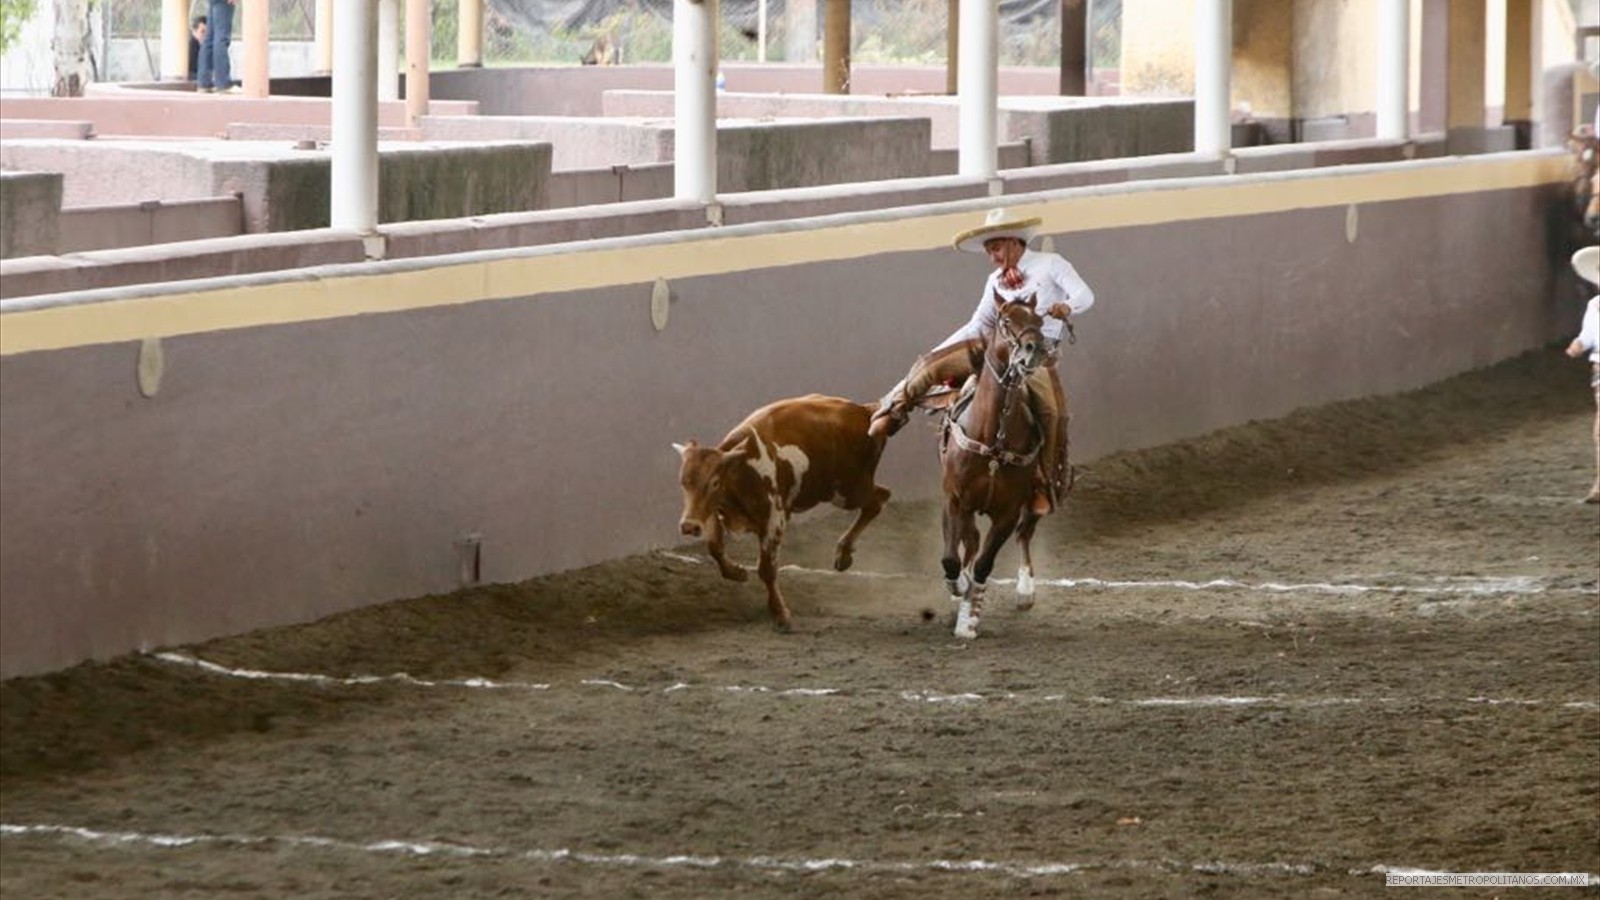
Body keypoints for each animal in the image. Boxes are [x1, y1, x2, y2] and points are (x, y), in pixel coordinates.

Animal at [675, 392, 896, 630]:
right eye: (683, 482)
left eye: (715, 482)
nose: (688, 526)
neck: (742, 469)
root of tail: (865, 410)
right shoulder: (712, 510)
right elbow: (714, 546)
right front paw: (737, 572)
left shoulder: (774, 520)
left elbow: (766, 569)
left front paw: (780, 613)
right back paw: (843, 554)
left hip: (848, 491)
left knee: (880, 497)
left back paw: (844, 553)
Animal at [934, 291, 1049, 634]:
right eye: (1007, 320)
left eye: (1039, 321)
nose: (1035, 349)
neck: (993, 436)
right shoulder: (955, 500)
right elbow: (951, 558)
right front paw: (958, 589)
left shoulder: (1007, 512)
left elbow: (985, 563)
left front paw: (969, 618)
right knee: (969, 543)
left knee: (1025, 533)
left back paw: (1025, 591)